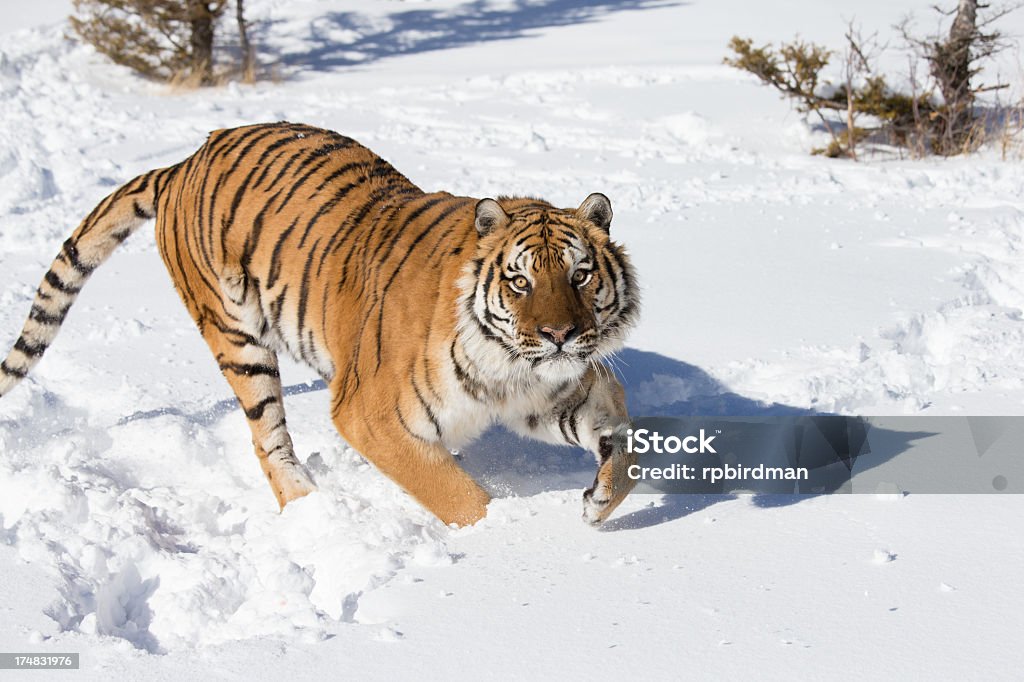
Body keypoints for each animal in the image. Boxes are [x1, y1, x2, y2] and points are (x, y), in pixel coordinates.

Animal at [0, 120, 638, 524]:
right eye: (520, 281)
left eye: (580, 275)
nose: (560, 336)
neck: (510, 364)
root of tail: (184, 162)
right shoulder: (371, 414)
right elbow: (459, 498)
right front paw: (501, 542)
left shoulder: (546, 393)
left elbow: (621, 437)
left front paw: (598, 500)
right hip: (239, 339)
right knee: (267, 437)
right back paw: (311, 510)